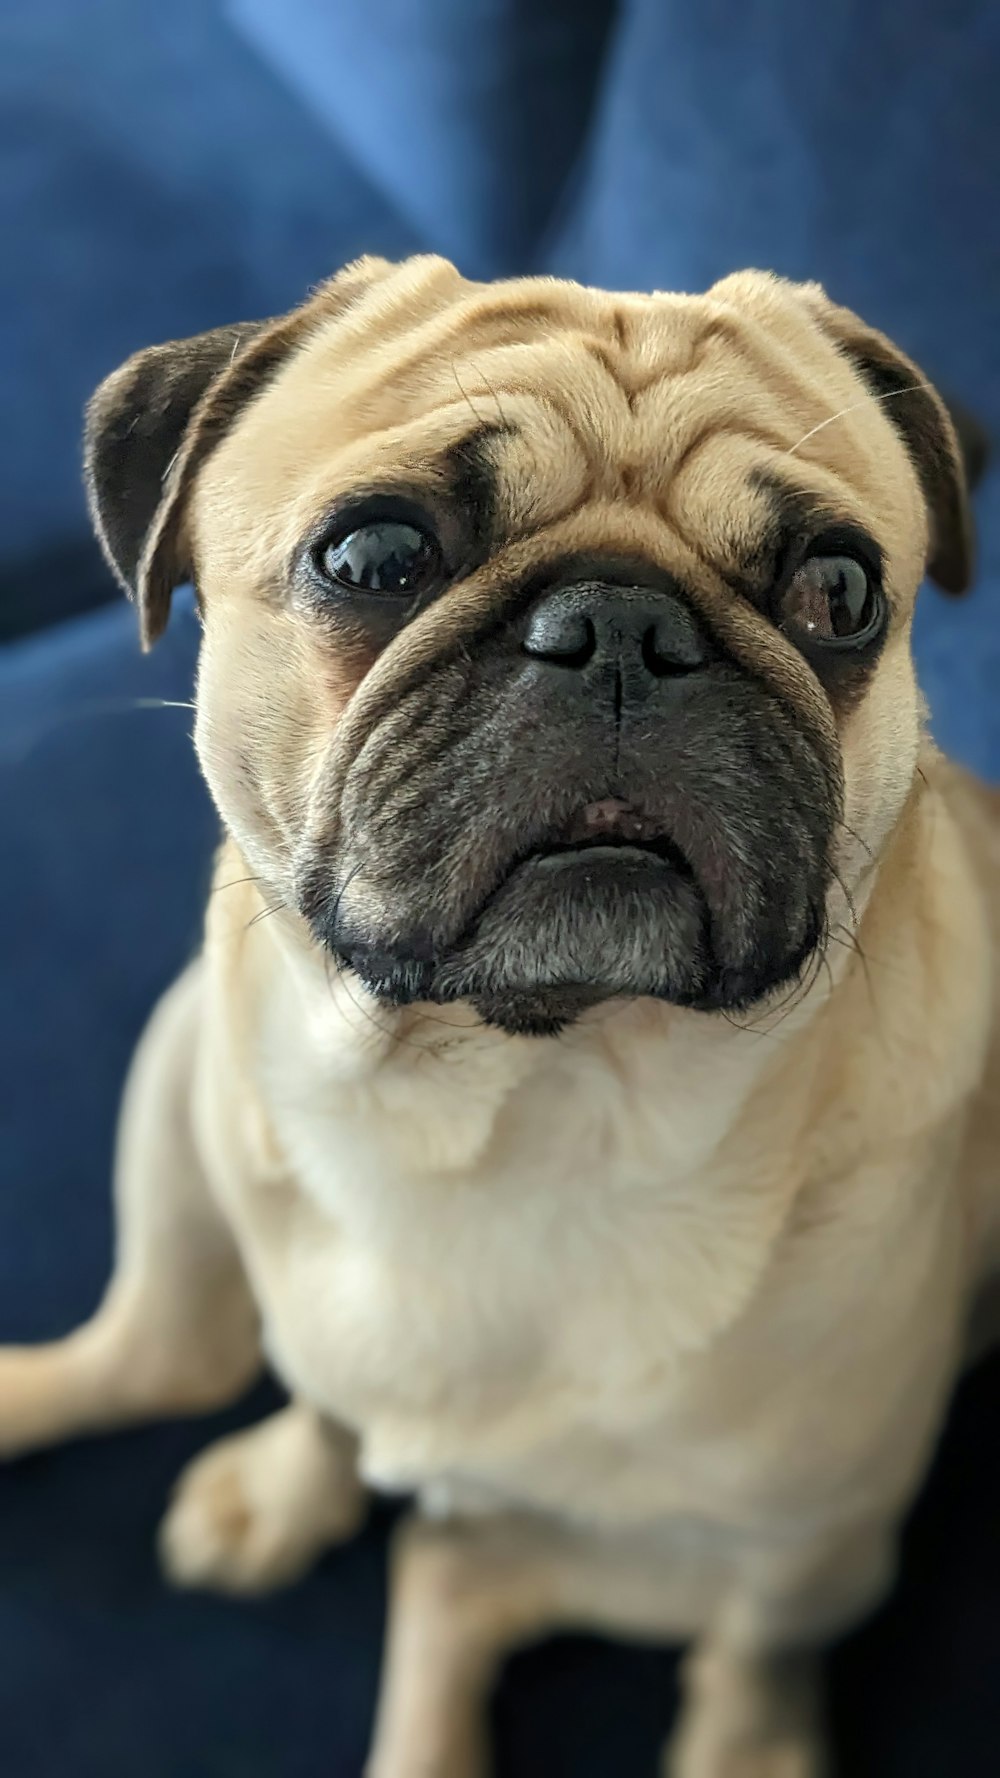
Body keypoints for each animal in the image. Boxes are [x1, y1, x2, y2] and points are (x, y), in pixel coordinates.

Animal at [1, 254, 996, 1778]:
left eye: (841, 589)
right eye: (371, 558)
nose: (624, 628)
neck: (515, 1096)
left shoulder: (810, 1538)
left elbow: (756, 1651)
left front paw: (747, 1744)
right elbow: (315, 1388)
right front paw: (290, 1482)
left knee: (458, 1569)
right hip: (173, 1107)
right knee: (169, 1344)